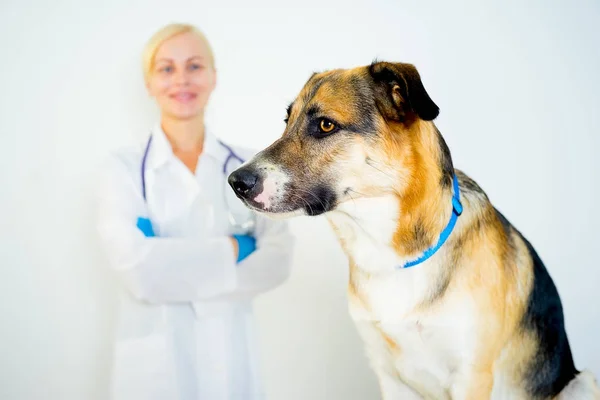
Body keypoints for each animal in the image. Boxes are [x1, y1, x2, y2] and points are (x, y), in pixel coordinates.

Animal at [226, 61, 600, 398]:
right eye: (286, 121)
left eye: (326, 125)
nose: (236, 182)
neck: (392, 254)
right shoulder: (388, 376)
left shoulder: (471, 376)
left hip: (582, 382)